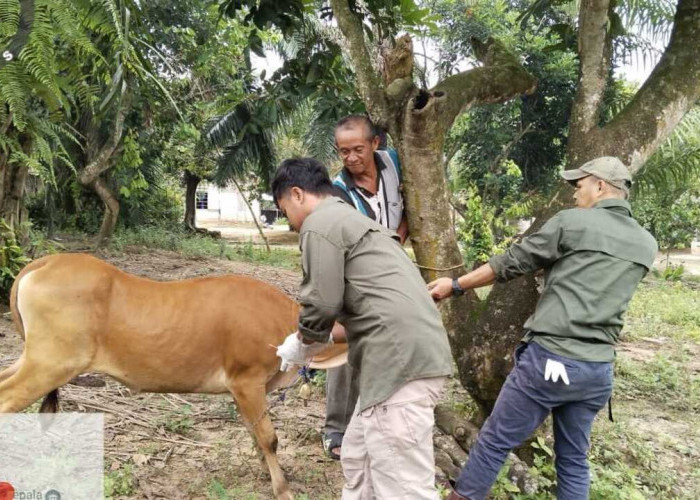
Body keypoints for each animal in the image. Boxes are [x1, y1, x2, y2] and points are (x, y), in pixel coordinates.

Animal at [0, 254, 340, 500]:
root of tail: (47, 261)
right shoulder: (247, 380)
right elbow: (269, 438)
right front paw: (283, 488)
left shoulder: (241, 390)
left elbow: (256, 435)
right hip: (51, 363)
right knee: (6, 401)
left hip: (34, 359)